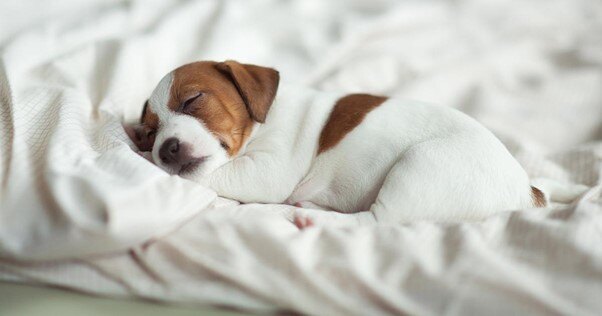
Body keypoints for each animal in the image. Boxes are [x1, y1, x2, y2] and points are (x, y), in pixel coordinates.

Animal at [129, 59, 548, 227]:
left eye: (191, 100)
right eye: (150, 132)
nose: (165, 148)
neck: (262, 122)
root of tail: (527, 196)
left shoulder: (268, 169)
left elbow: (214, 175)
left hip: (422, 165)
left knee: (376, 222)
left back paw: (308, 216)